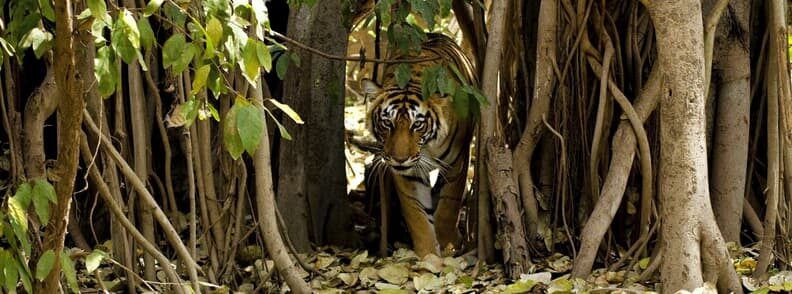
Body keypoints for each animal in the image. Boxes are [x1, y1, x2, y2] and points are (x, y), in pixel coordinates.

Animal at [364, 32, 476, 258]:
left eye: (417, 125)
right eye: (387, 123)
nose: (399, 159)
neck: (427, 149)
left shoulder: (458, 163)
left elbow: (448, 207)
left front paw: (447, 247)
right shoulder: (408, 175)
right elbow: (417, 215)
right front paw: (428, 257)